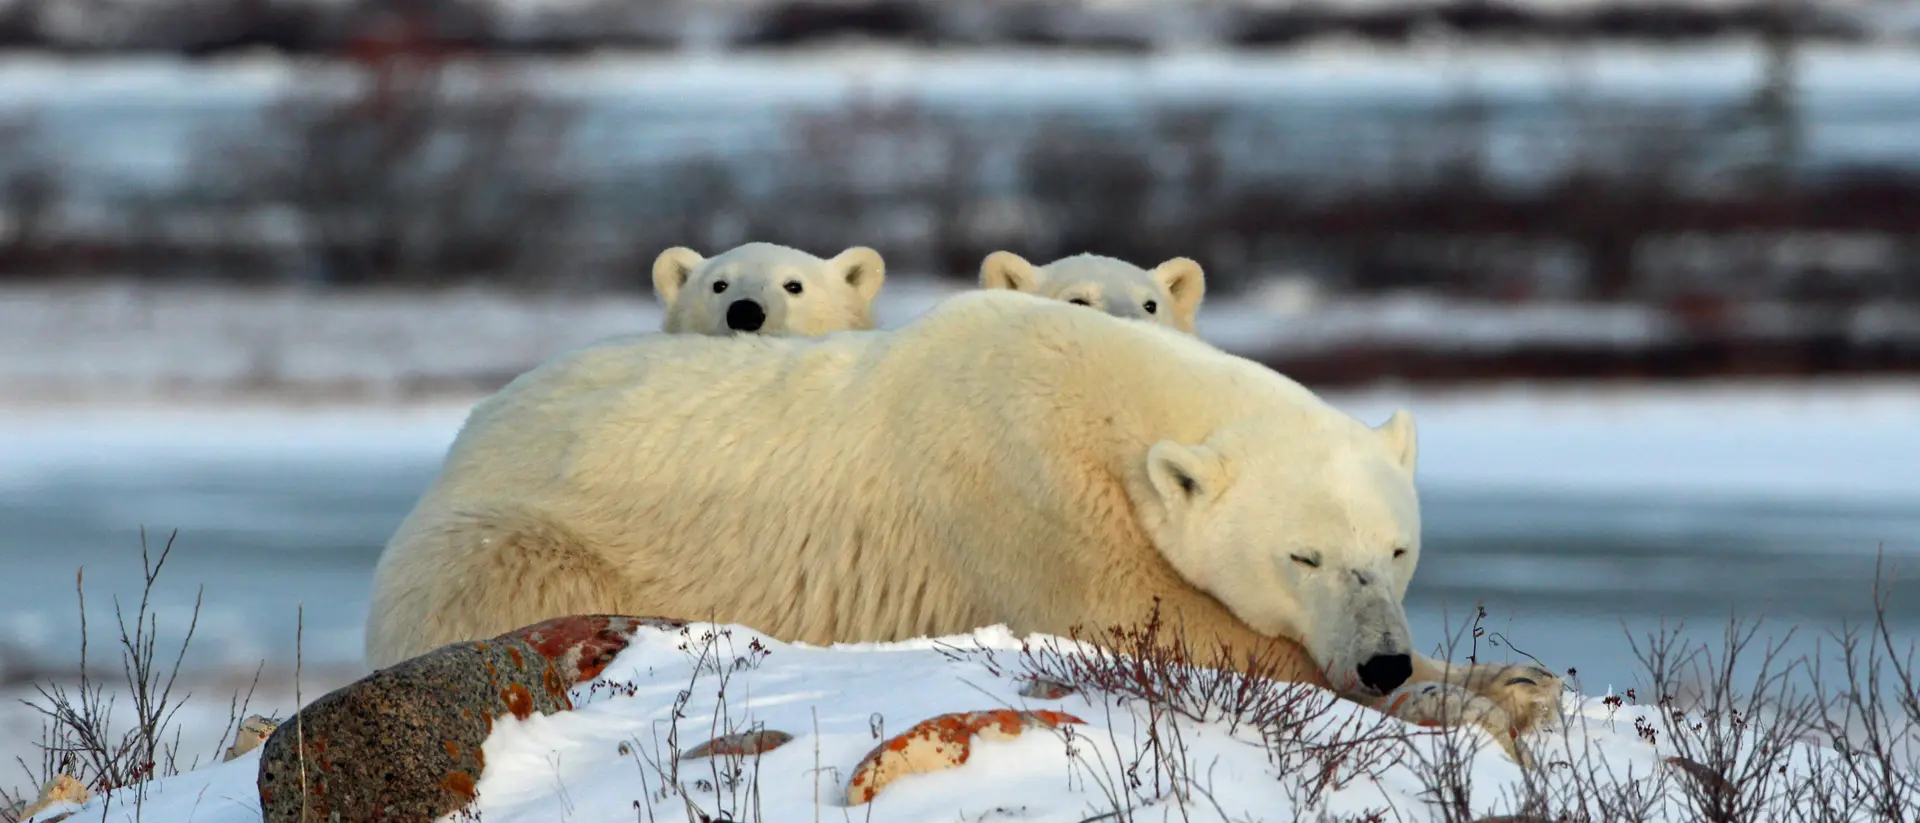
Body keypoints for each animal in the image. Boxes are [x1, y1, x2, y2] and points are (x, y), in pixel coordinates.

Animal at [363, 289, 1561, 758]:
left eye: (1395, 548)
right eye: (1302, 553)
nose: (1384, 659)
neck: (1104, 402)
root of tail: (464, 433)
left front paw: (1516, 679)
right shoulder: (1025, 495)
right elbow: (1180, 634)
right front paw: (1476, 704)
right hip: (509, 534)